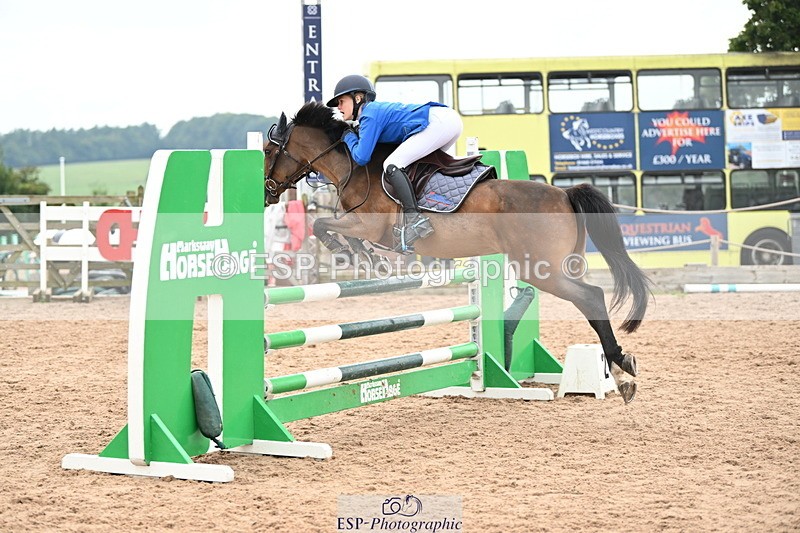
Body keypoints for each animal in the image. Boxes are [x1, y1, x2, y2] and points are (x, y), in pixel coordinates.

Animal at [263, 101, 651, 403]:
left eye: (267, 152)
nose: (266, 193)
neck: (352, 168)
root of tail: (565, 193)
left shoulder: (368, 226)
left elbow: (322, 225)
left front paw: (348, 252)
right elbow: (339, 233)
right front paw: (368, 259)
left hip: (540, 270)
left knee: (592, 296)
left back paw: (621, 368)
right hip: (560, 266)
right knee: (590, 298)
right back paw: (619, 372)